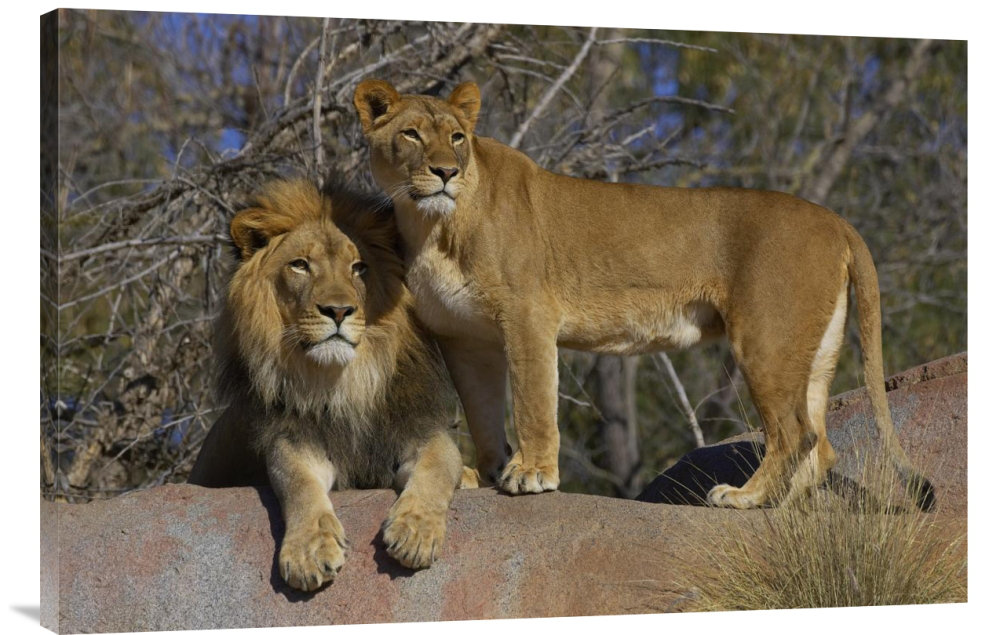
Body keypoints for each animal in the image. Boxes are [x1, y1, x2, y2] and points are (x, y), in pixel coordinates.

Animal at [188, 179, 471, 592]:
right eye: (300, 265)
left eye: (359, 268)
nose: (338, 311)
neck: (343, 384)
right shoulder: (294, 441)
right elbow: (299, 485)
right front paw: (309, 551)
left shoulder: (420, 430)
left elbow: (439, 465)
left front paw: (414, 533)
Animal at [352, 78, 935, 511]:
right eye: (410, 134)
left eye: (456, 138)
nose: (445, 172)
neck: (432, 225)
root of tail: (836, 218)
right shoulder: (463, 337)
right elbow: (483, 411)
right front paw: (488, 473)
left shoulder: (528, 315)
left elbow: (533, 402)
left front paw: (531, 475)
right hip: (814, 348)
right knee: (821, 441)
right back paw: (784, 509)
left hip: (766, 338)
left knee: (796, 433)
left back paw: (744, 499)